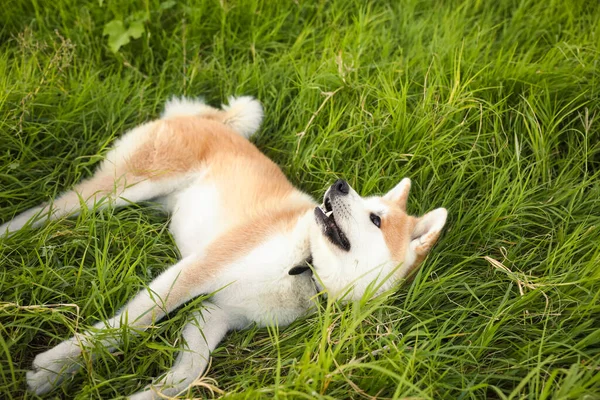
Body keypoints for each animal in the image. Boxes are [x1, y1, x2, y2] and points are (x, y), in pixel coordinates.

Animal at [2, 95, 448, 398]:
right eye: (364, 202)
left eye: (375, 219)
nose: (339, 184)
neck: (304, 266)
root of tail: (212, 120)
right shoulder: (198, 268)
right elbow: (131, 324)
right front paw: (56, 369)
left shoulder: (216, 313)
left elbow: (190, 371)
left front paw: (145, 395)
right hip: (121, 189)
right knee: (47, 212)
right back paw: (11, 234)